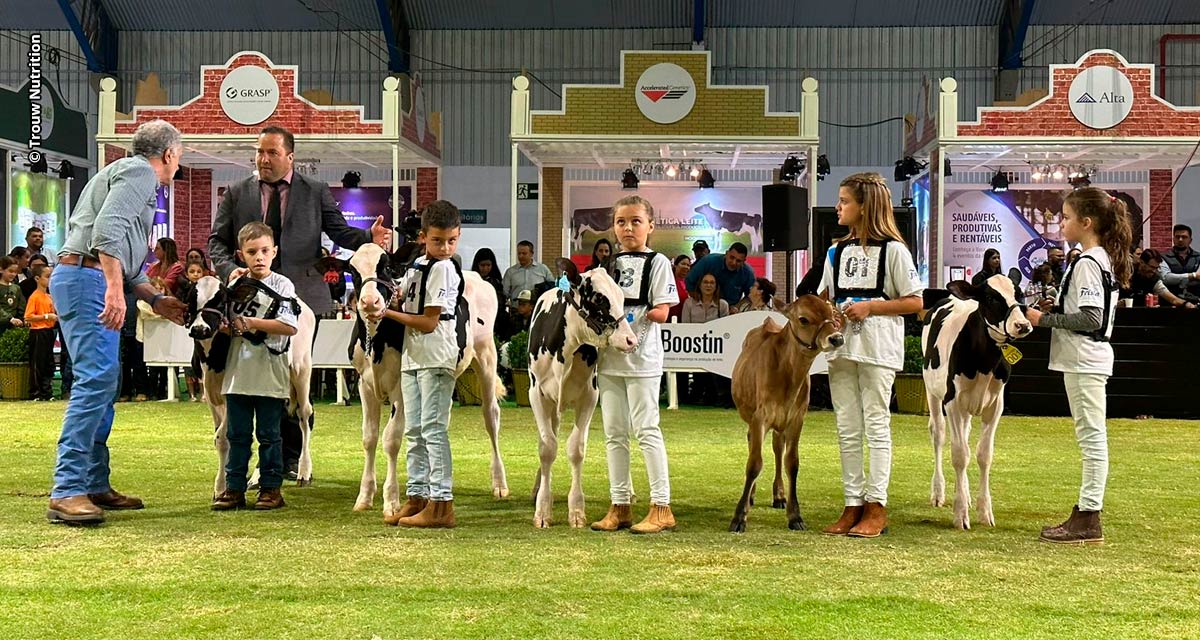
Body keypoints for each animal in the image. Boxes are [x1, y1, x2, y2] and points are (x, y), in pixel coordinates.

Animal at [182, 274, 314, 494]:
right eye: (190, 301)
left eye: (221, 301)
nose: (199, 330)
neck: (213, 360)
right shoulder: (210, 395)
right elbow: (220, 437)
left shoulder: (231, 393)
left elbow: (223, 437)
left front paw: (221, 488)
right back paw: (257, 478)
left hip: (301, 368)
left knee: (305, 414)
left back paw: (304, 472)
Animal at [348, 242, 506, 516]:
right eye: (354, 273)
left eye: (387, 268)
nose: (369, 302)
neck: (378, 341)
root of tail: (476, 276)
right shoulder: (364, 384)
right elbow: (369, 437)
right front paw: (365, 496)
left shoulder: (400, 388)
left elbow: (391, 439)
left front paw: (391, 502)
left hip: (486, 355)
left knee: (491, 416)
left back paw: (499, 484)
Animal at [525, 266, 638, 525]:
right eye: (598, 298)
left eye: (621, 296)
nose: (631, 340)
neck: (564, 353)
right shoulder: (536, 394)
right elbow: (547, 447)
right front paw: (542, 508)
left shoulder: (590, 396)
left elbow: (576, 449)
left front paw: (576, 510)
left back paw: (629, 490)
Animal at [926, 274, 1032, 528]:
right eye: (991, 298)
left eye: (1019, 294)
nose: (1023, 325)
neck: (984, 362)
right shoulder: (952, 401)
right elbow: (959, 455)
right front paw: (960, 514)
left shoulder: (995, 406)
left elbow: (984, 455)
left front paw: (984, 511)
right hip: (932, 391)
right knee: (939, 433)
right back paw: (939, 493)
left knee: (964, 435)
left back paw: (964, 493)